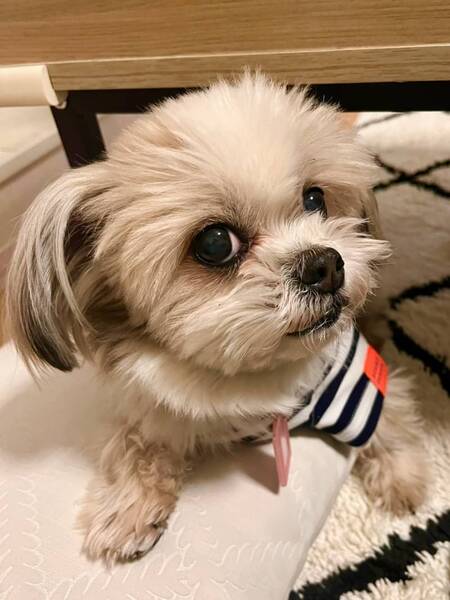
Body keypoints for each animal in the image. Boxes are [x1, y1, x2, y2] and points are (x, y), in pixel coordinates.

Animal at [6, 74, 427, 564]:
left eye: (315, 199)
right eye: (215, 243)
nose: (325, 264)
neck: (249, 378)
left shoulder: (357, 380)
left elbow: (390, 419)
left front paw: (403, 478)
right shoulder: (152, 406)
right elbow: (134, 445)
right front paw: (127, 510)